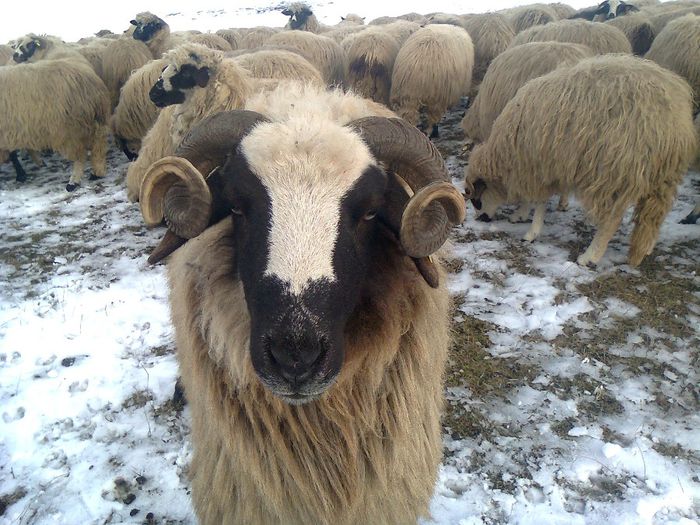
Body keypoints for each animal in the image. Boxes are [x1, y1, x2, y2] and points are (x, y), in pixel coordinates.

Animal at [462, 54, 696, 266]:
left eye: (476, 200)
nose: (481, 219)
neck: (504, 153)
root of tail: (673, 122)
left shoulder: (536, 166)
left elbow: (538, 201)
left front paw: (530, 230)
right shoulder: (549, 167)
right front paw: (522, 214)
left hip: (614, 171)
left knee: (611, 219)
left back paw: (590, 256)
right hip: (663, 178)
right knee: (653, 216)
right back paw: (645, 249)